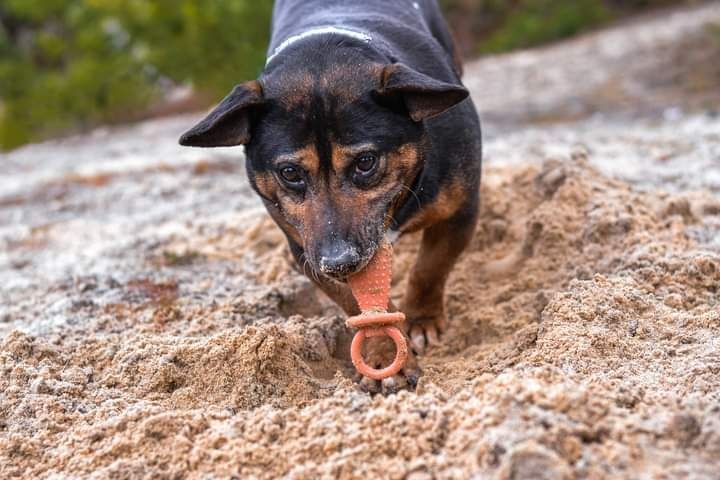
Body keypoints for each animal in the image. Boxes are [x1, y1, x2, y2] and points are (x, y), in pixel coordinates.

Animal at [180, 0, 484, 392]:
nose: (339, 263)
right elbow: (359, 307)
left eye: (366, 162)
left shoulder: (461, 211)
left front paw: (421, 321)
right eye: (289, 173)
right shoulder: (304, 248)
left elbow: (429, 269)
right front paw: (386, 355)